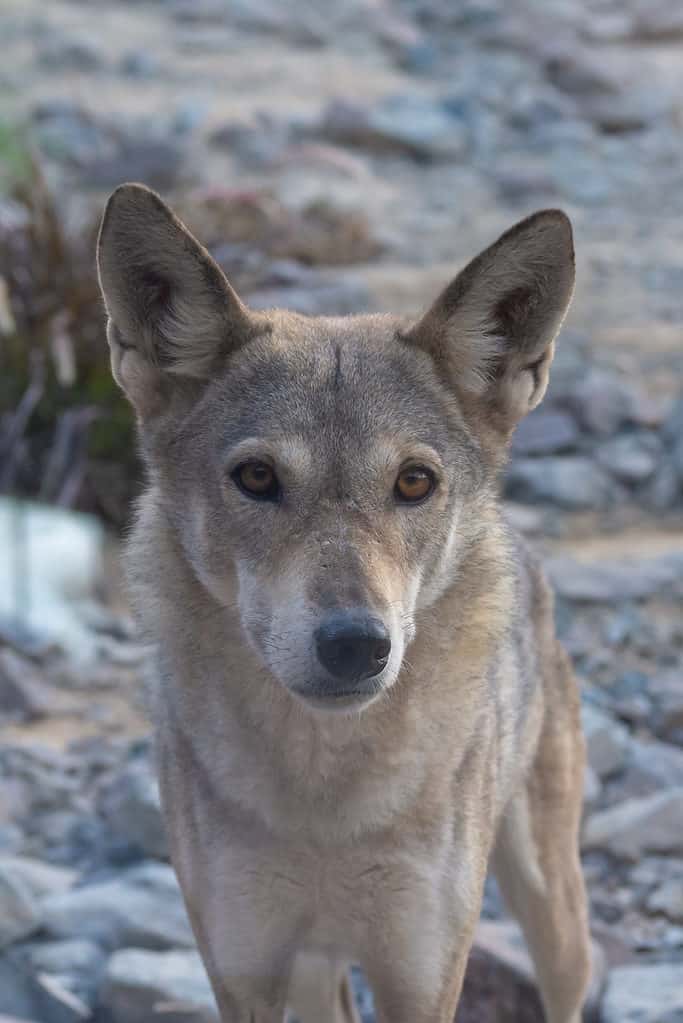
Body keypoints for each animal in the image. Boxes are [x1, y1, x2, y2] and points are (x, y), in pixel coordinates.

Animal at [97, 183, 591, 1023]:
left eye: (414, 481)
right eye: (257, 477)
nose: (356, 644)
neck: (325, 803)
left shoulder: (421, 978)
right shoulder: (243, 971)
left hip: (551, 911)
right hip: (314, 968)